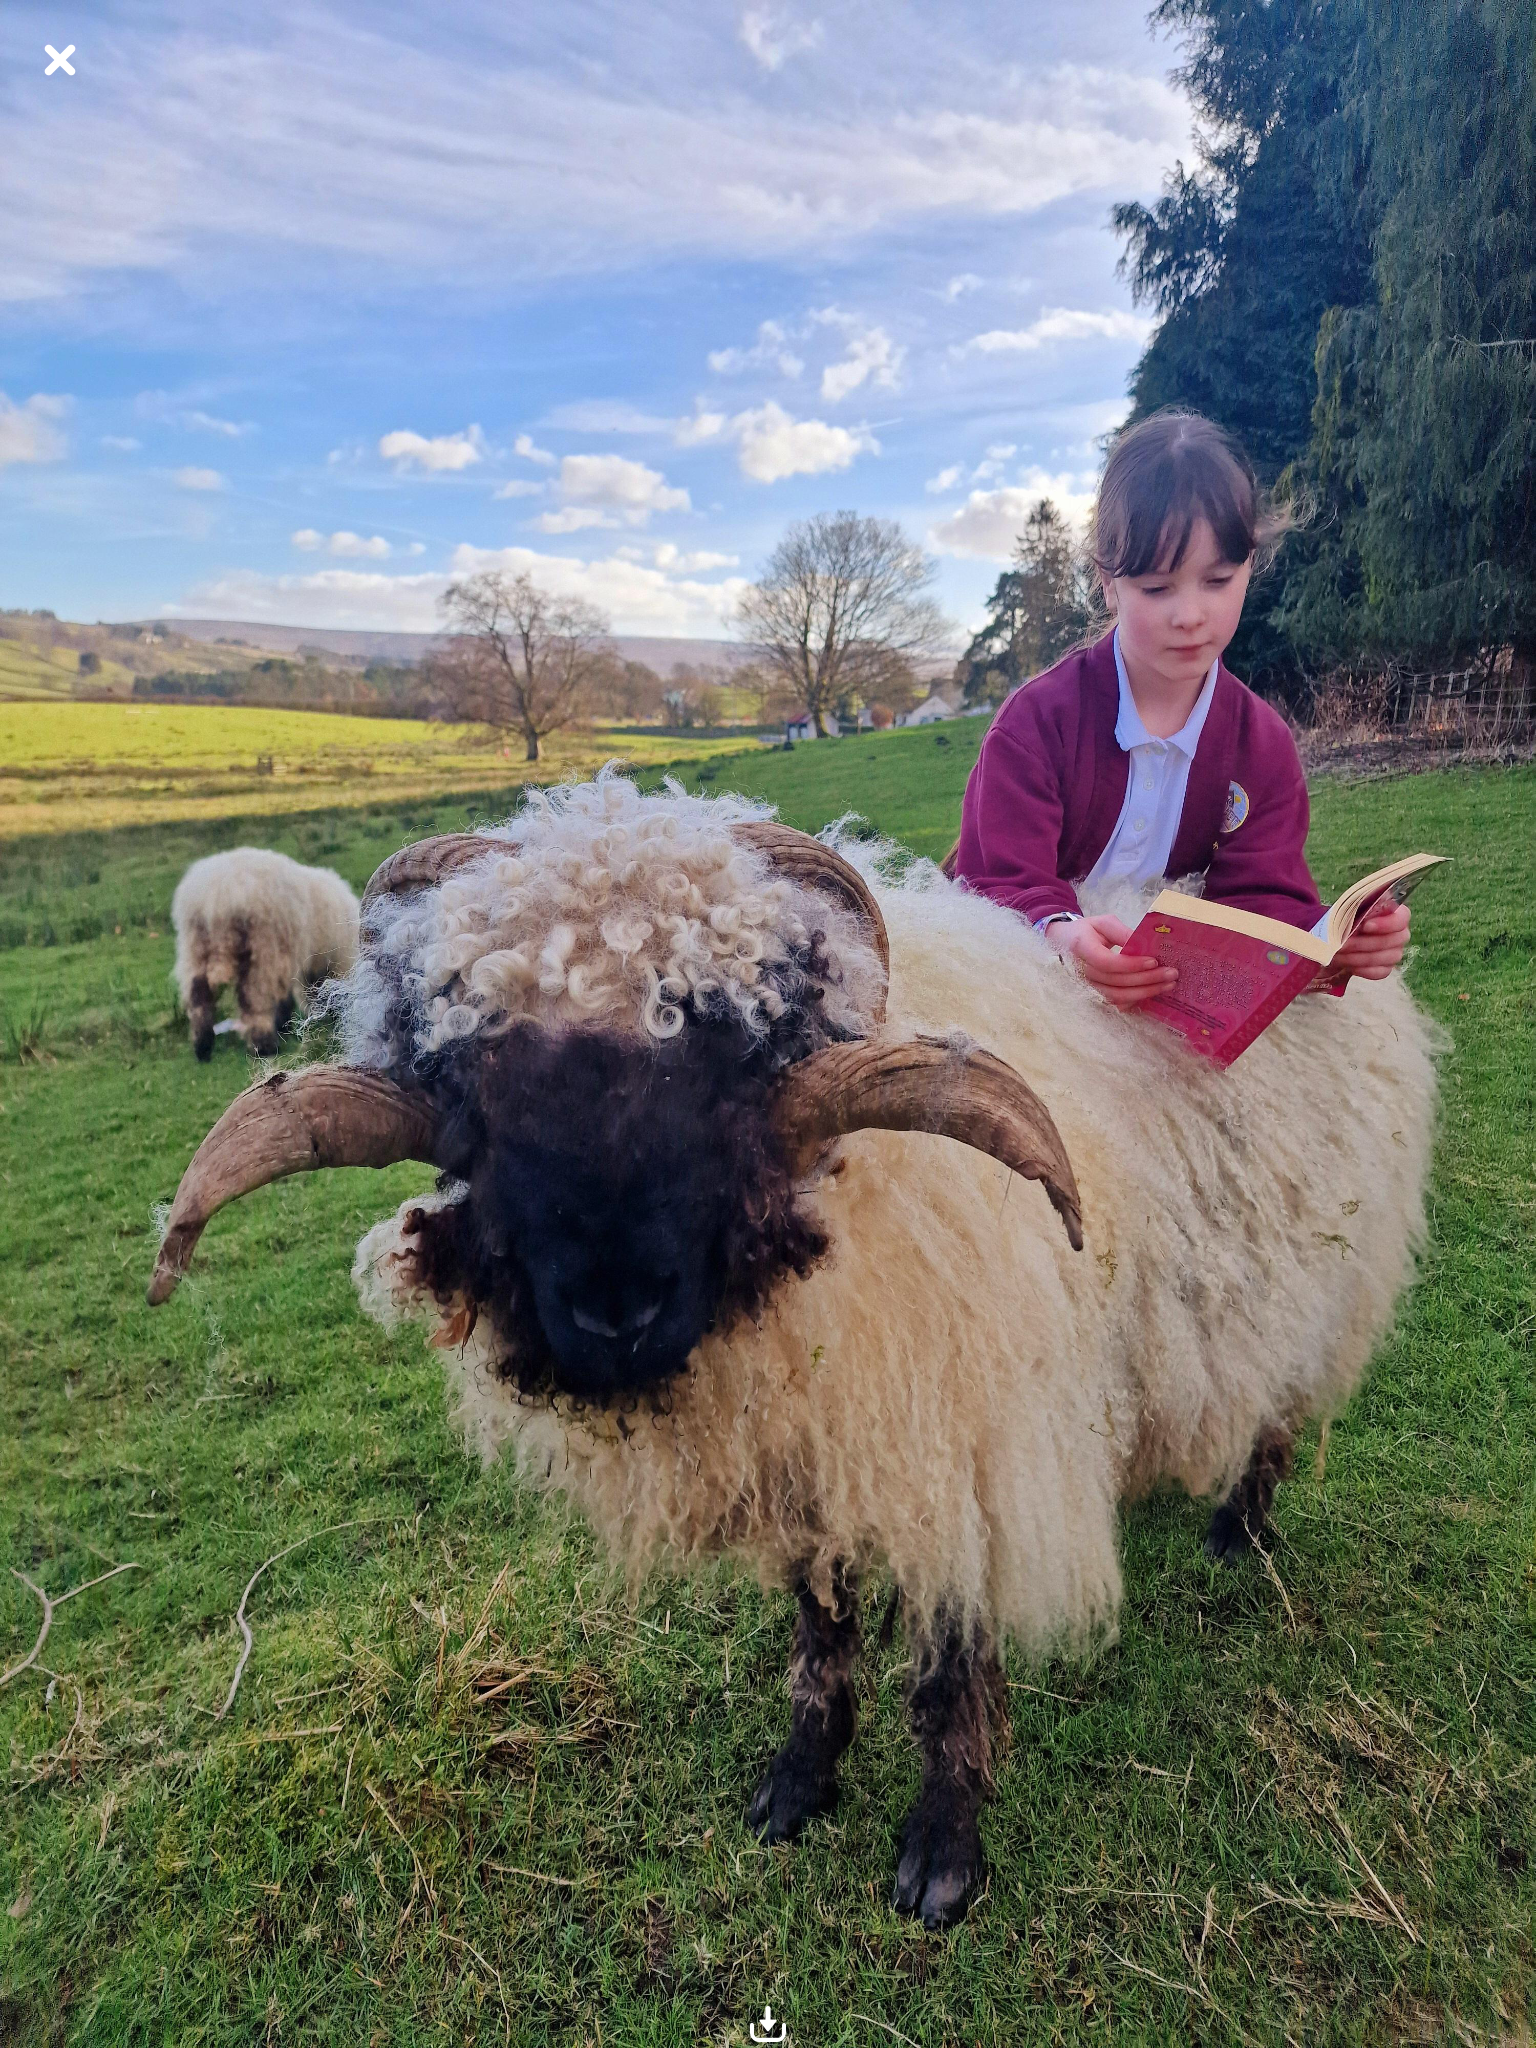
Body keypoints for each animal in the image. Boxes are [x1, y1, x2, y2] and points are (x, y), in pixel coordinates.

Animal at [171, 843, 360, 1056]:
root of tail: (218, 894)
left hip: (194, 947)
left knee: (198, 993)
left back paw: (202, 1045)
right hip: (263, 947)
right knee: (255, 995)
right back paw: (264, 1045)